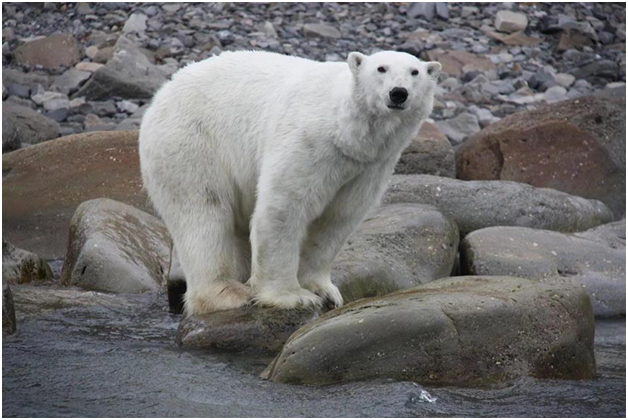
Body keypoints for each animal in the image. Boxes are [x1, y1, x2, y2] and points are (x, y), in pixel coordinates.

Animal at [138, 50, 442, 316]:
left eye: (415, 72)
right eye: (381, 68)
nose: (398, 93)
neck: (346, 132)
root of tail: (160, 94)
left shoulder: (369, 167)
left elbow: (337, 219)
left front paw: (323, 290)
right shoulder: (309, 142)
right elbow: (284, 207)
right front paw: (292, 297)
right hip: (191, 143)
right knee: (204, 213)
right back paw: (227, 292)